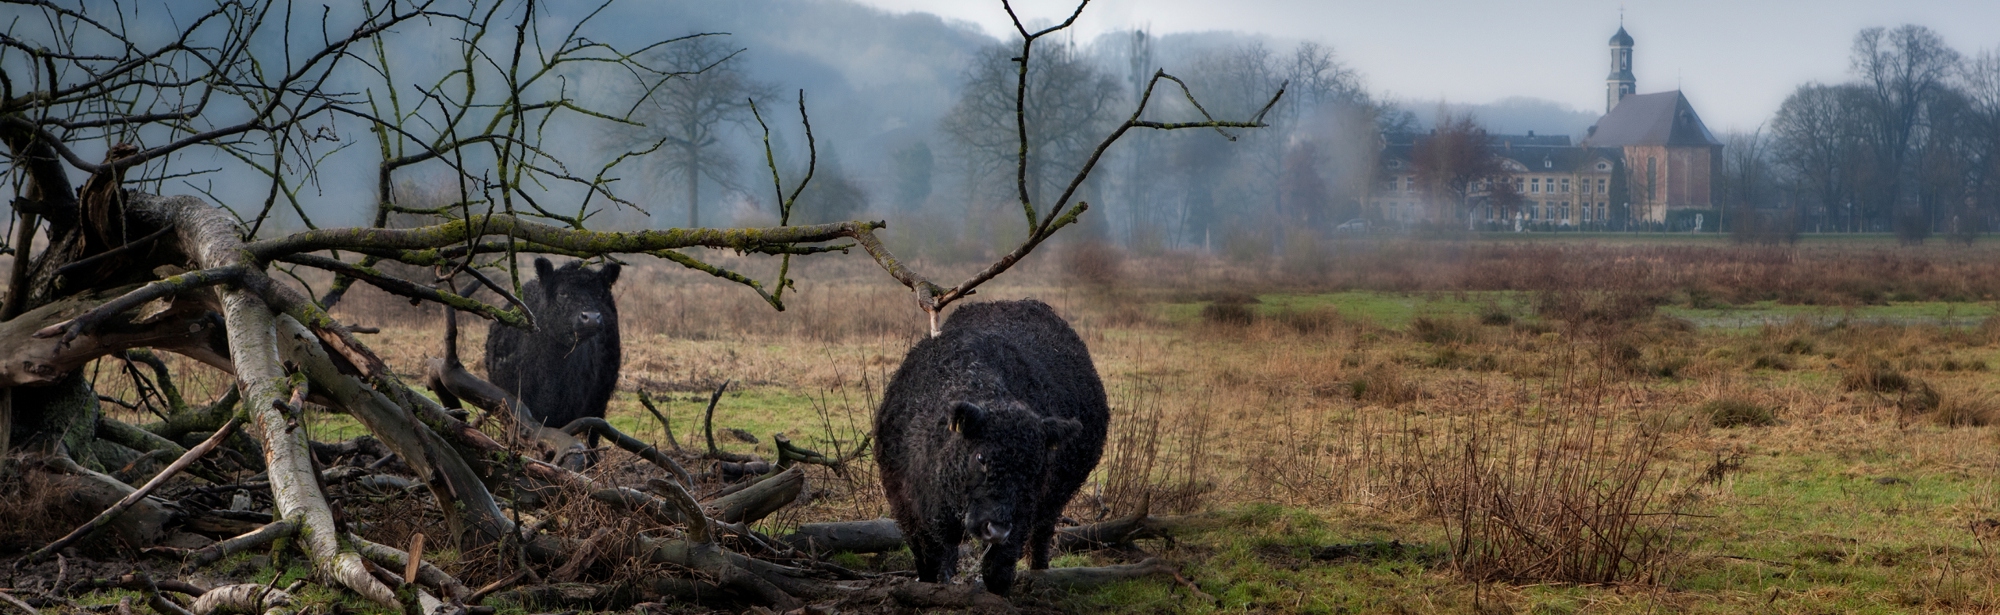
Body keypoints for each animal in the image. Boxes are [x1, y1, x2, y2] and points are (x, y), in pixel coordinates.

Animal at [872, 299, 1112, 595]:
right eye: (980, 457)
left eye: (1035, 467)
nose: (995, 529)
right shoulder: (908, 508)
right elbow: (928, 561)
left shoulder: (1020, 514)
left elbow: (998, 568)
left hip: (1053, 500)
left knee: (1042, 536)